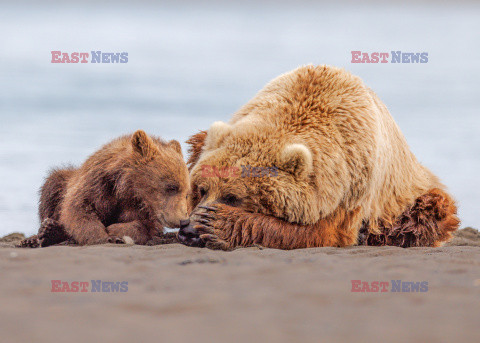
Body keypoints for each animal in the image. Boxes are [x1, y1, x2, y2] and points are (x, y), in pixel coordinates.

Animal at [20, 131, 189, 247]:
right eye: (171, 187)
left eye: (187, 193)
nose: (183, 219)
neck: (127, 187)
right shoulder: (97, 184)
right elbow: (78, 210)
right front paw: (105, 236)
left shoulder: (144, 210)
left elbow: (143, 226)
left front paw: (115, 231)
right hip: (64, 180)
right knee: (52, 187)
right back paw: (42, 234)